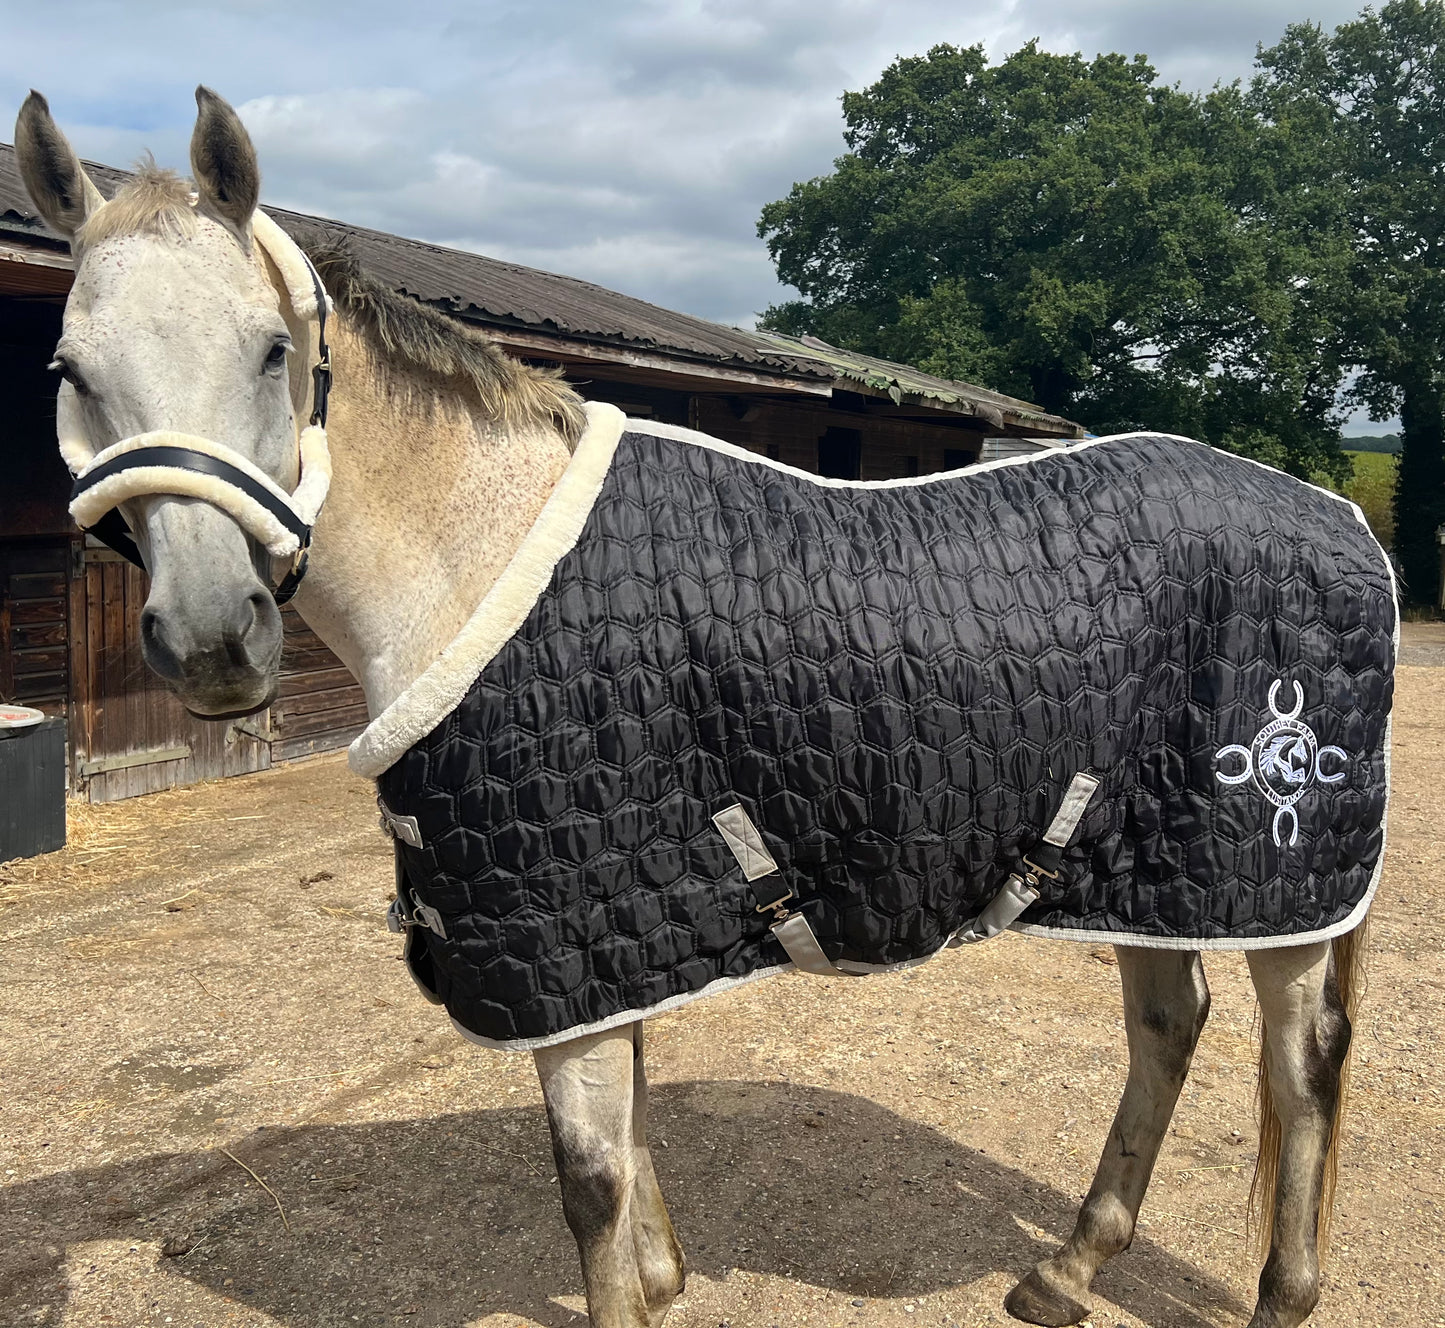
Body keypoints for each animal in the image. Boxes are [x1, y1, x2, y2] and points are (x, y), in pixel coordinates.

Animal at [14, 91, 1364, 1328]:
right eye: (69, 370)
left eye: (271, 349)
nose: (211, 637)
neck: (484, 555)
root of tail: (1338, 516)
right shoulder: (609, 931)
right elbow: (635, 1124)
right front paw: (665, 1276)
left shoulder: (566, 933)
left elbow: (590, 1183)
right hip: (1155, 869)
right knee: (1168, 1025)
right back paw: (1065, 1268)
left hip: (1277, 881)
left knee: (1299, 1063)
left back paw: (1277, 1294)